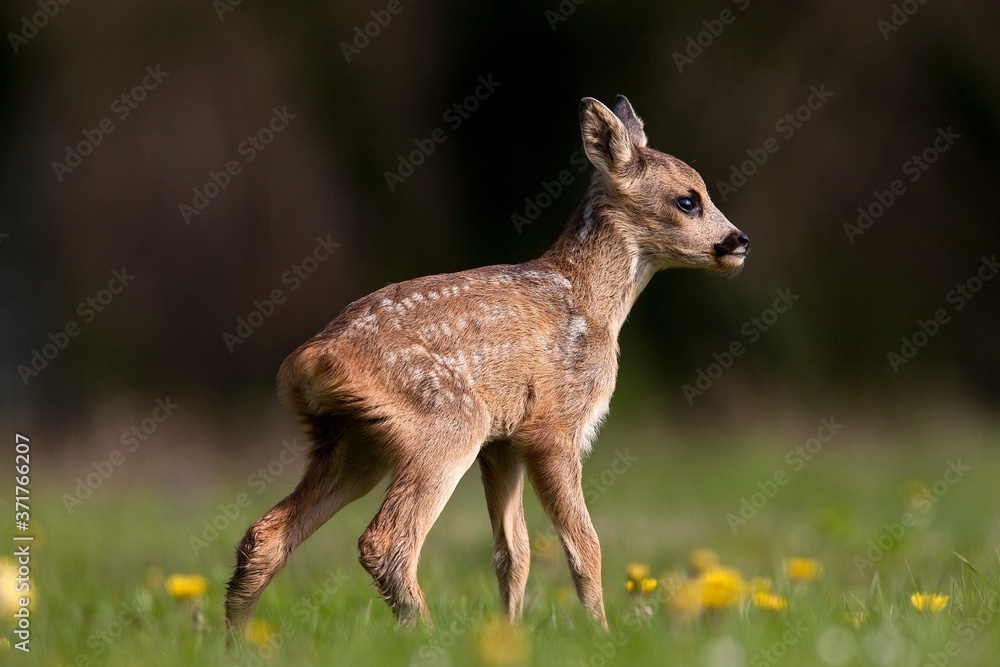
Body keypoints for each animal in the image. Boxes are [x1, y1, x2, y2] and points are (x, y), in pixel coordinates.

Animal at [224, 95, 749, 634]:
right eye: (688, 200)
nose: (739, 241)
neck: (591, 304)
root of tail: (311, 359)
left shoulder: (504, 442)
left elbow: (513, 552)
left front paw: (510, 633)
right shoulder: (553, 428)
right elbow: (585, 545)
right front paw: (601, 633)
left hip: (353, 443)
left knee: (266, 534)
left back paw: (239, 639)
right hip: (448, 422)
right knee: (385, 541)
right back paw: (425, 636)